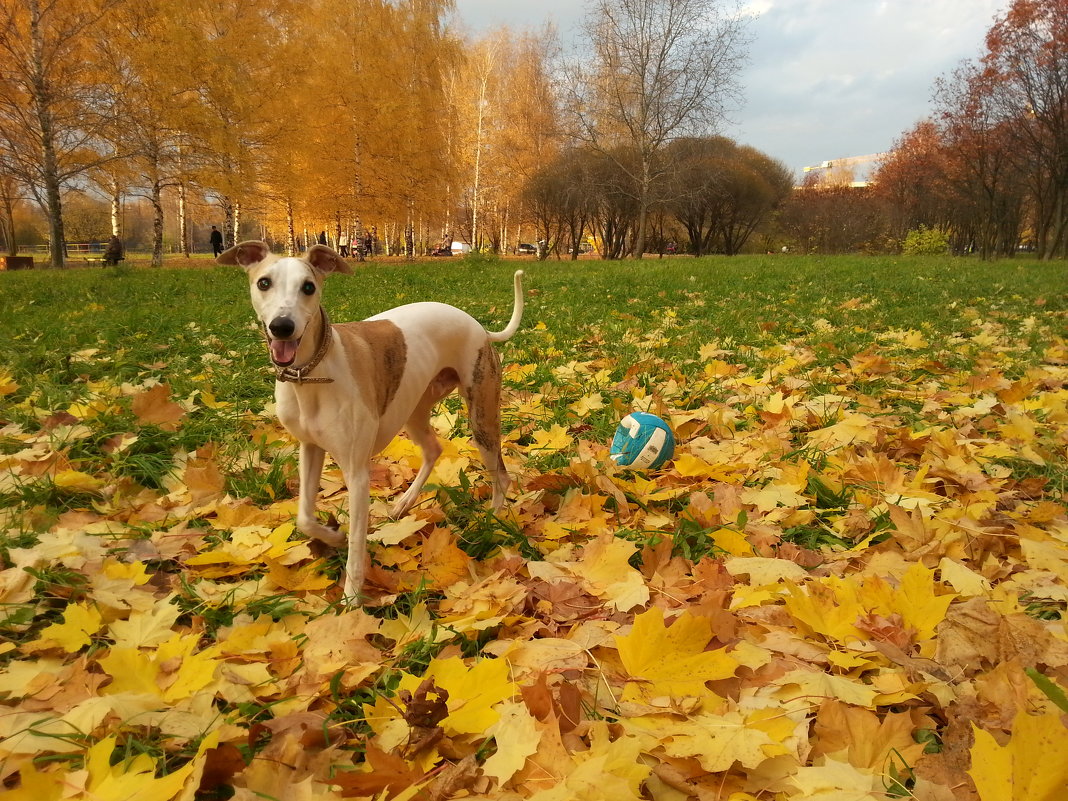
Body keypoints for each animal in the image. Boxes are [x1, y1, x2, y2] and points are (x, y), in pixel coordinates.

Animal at [218, 241, 523, 606]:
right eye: (264, 282)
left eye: (309, 287)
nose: (282, 326)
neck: (312, 373)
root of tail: (477, 325)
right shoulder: (310, 448)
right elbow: (305, 516)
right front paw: (331, 535)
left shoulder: (357, 473)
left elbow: (356, 544)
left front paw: (351, 600)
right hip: (414, 410)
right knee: (433, 449)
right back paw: (404, 503)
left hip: (481, 415)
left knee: (501, 476)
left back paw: (491, 521)